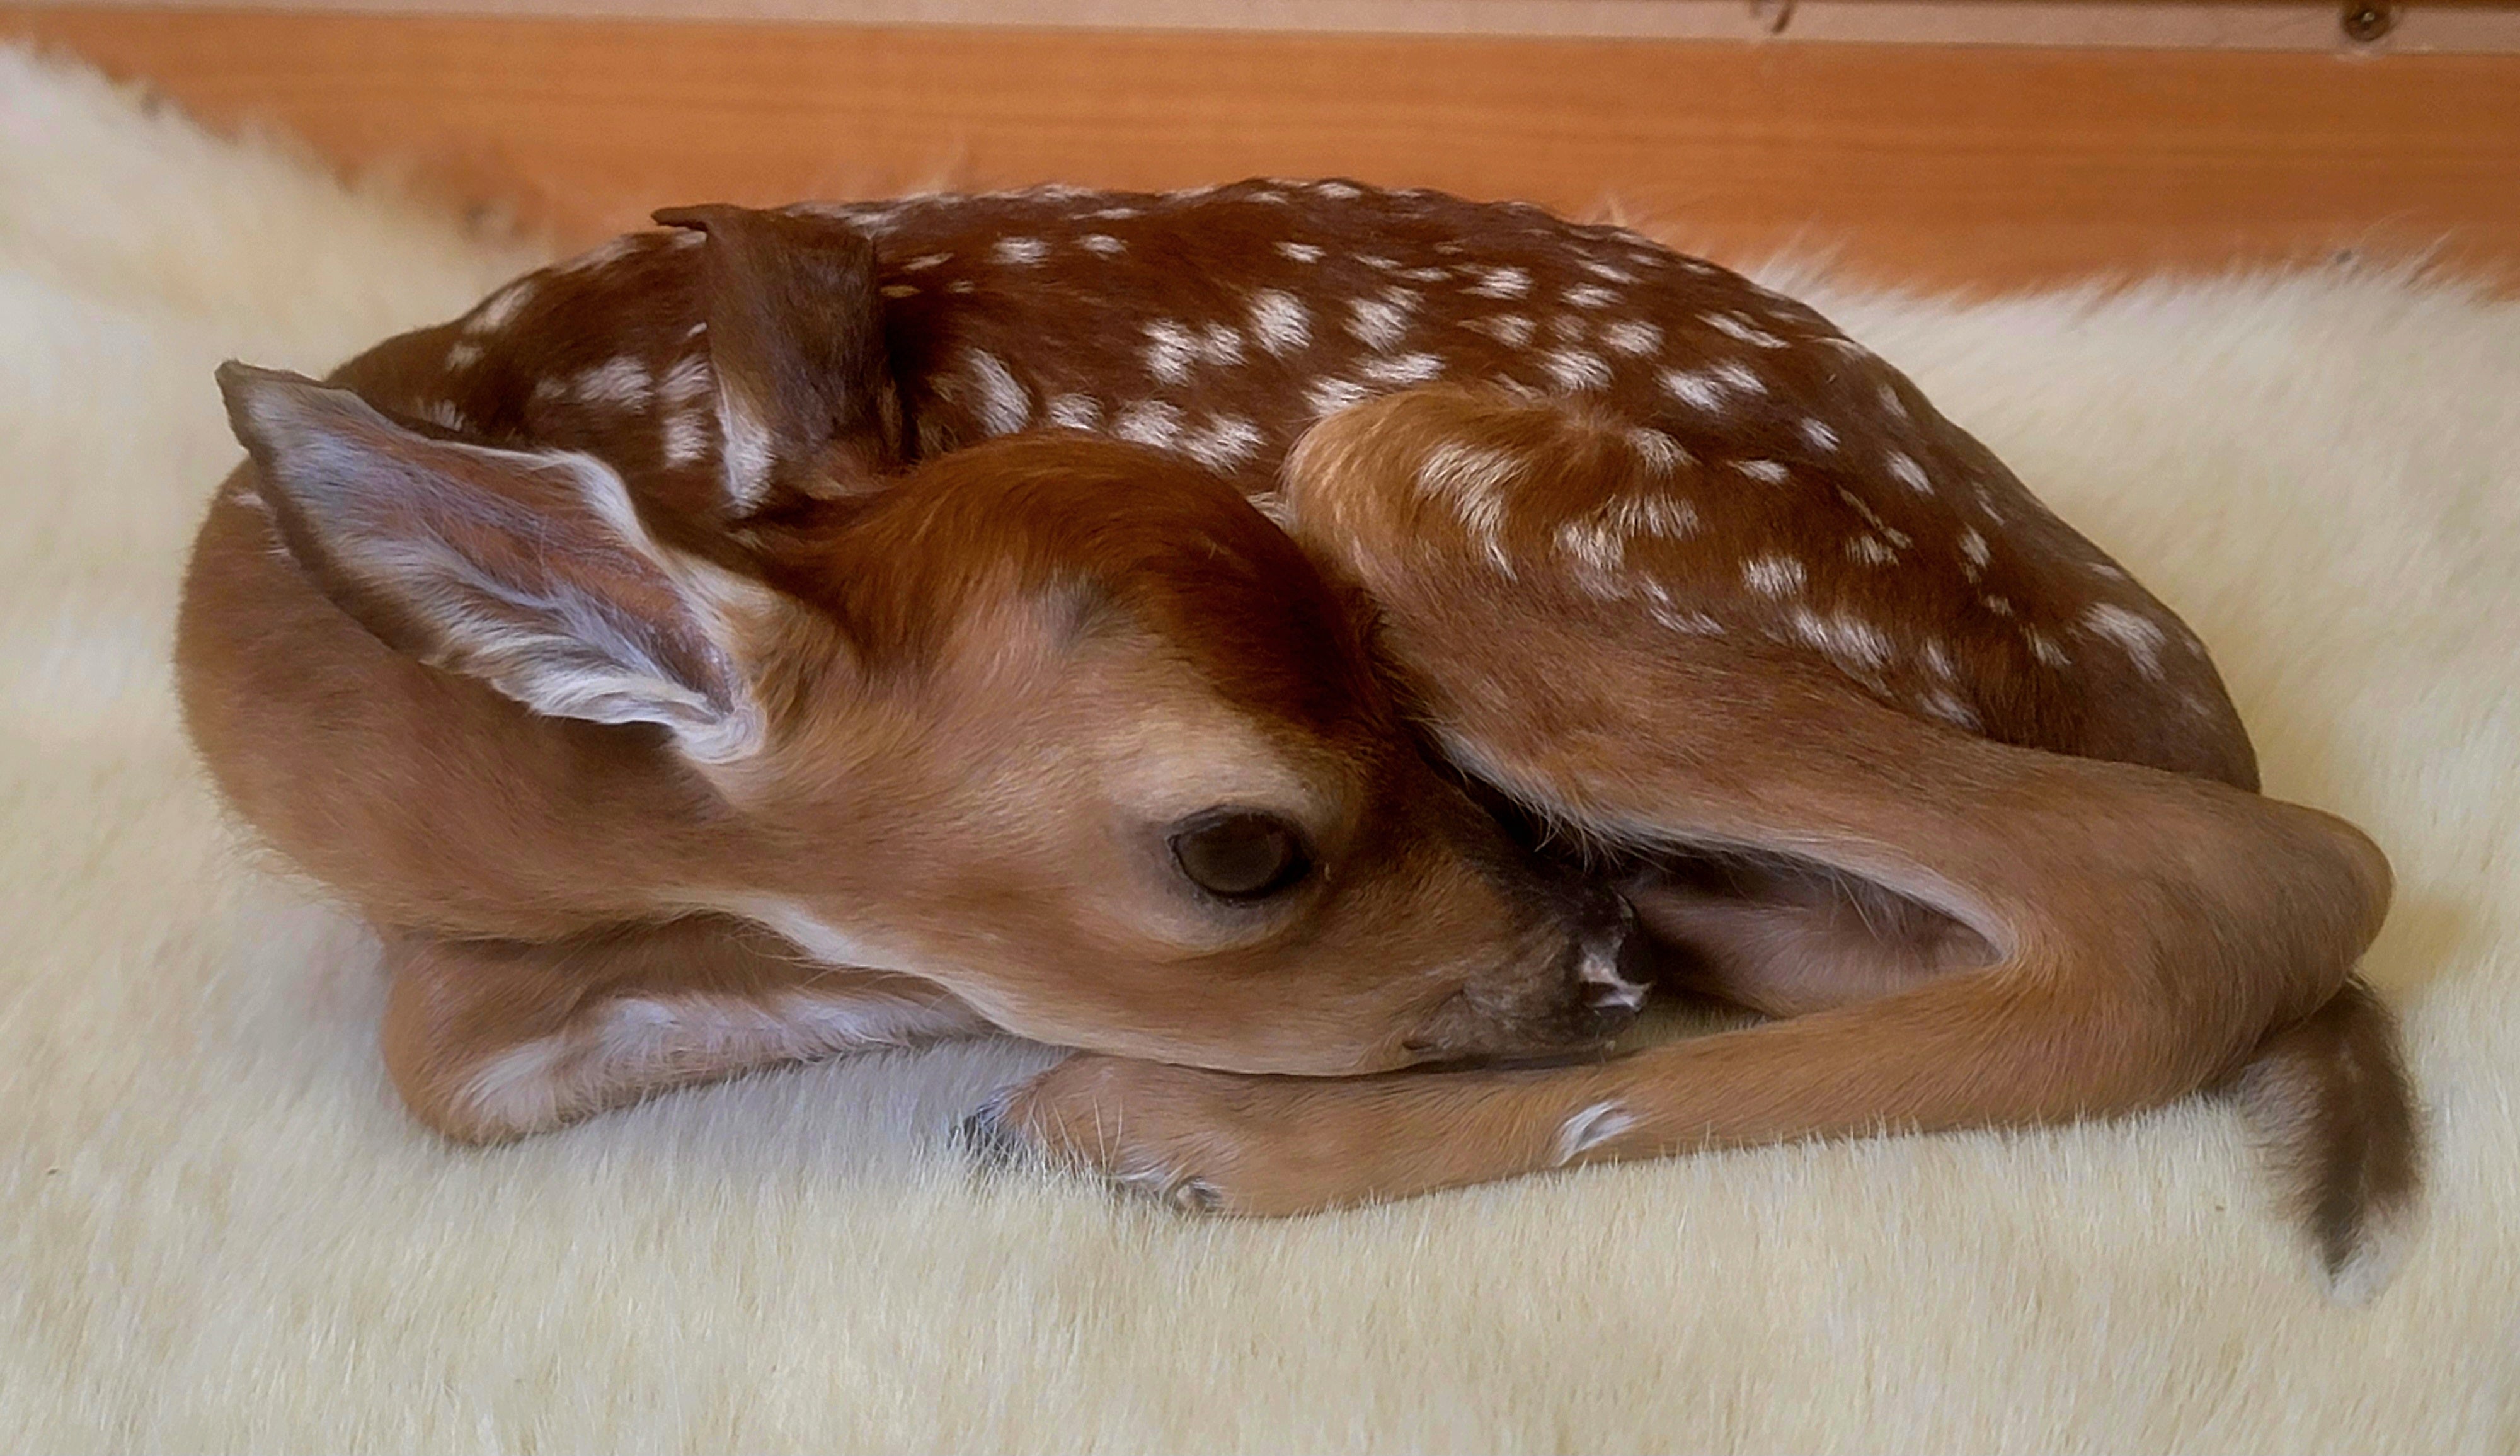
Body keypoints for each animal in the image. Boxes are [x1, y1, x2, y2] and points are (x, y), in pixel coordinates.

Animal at [176, 180, 2416, 1296]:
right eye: (1239, 848)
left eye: (1361, 670)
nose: (1583, 952)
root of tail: (2162, 676)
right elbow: (449, 1049)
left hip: (1424, 477)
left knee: (2241, 892)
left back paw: (1161, 1130)